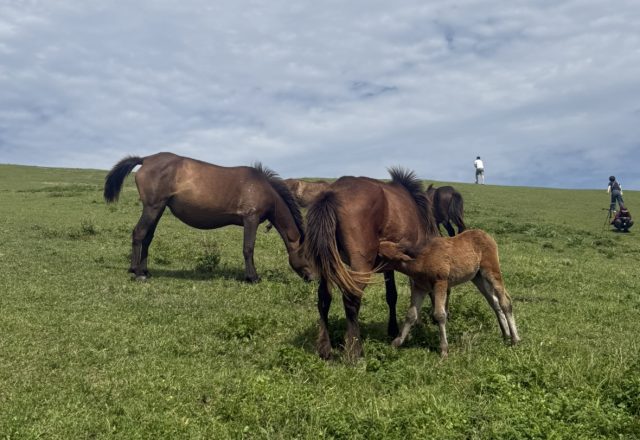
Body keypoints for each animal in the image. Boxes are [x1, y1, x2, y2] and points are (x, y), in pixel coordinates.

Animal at [103, 152, 314, 283]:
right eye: (307, 255)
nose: (313, 278)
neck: (264, 188)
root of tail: (145, 160)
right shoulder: (251, 219)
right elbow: (248, 248)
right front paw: (252, 277)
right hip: (152, 207)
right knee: (138, 233)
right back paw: (136, 272)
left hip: (158, 209)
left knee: (147, 237)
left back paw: (145, 271)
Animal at [305, 168, 439, 360]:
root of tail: (332, 193)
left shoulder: (389, 265)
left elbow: (392, 295)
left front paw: (393, 329)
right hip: (361, 267)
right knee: (351, 298)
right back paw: (355, 351)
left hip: (326, 264)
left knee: (323, 297)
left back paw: (324, 348)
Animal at [377, 229, 520, 357]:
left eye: (380, 255)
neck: (421, 258)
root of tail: (486, 235)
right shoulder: (420, 288)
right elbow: (411, 314)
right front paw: (396, 342)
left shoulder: (441, 283)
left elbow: (440, 314)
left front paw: (444, 350)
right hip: (477, 277)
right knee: (494, 302)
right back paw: (506, 335)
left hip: (491, 271)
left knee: (505, 301)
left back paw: (515, 339)